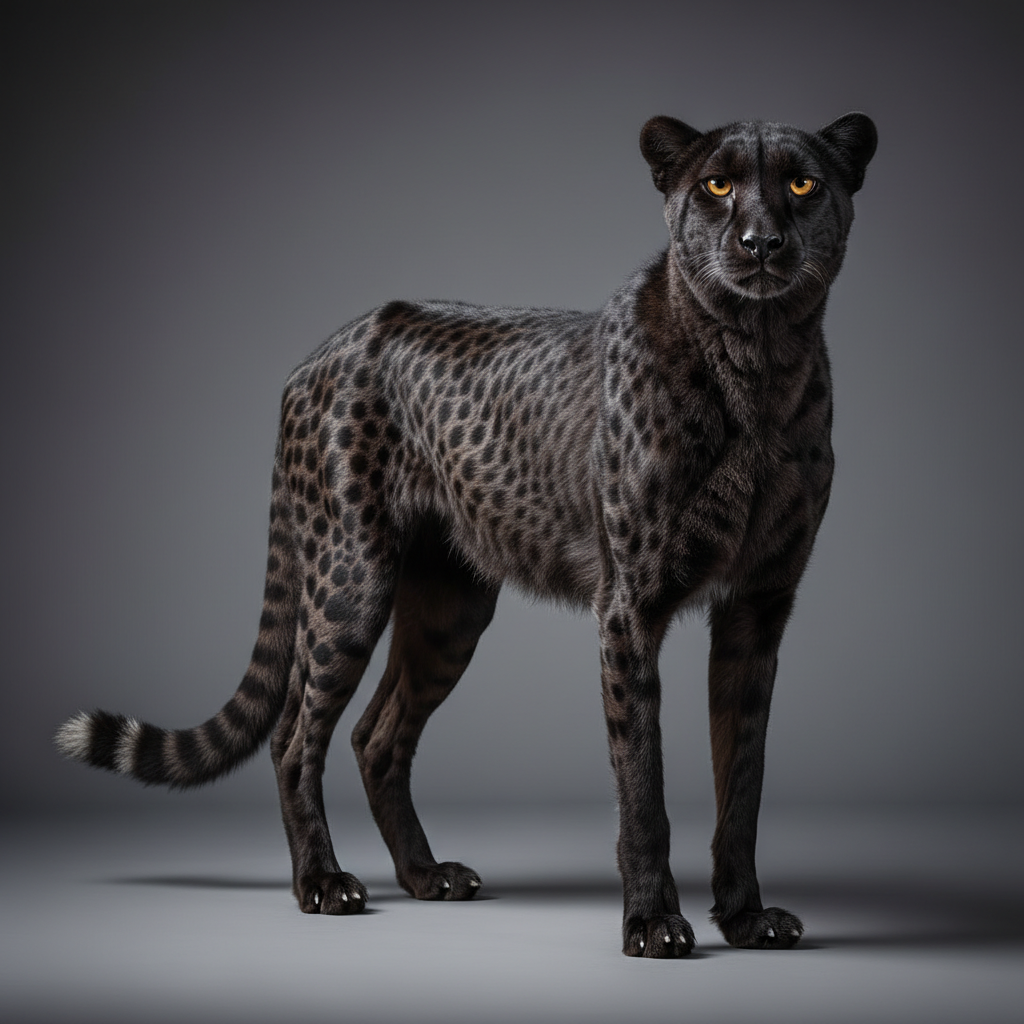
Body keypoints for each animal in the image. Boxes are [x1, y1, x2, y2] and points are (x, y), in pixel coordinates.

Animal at [57, 111, 877, 957]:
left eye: (802, 183)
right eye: (716, 184)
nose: (761, 242)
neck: (757, 359)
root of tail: (327, 346)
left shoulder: (756, 610)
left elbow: (742, 780)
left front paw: (745, 915)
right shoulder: (628, 609)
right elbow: (642, 781)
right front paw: (652, 920)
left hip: (451, 610)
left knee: (377, 737)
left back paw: (425, 876)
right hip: (349, 584)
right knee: (294, 736)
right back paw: (322, 882)